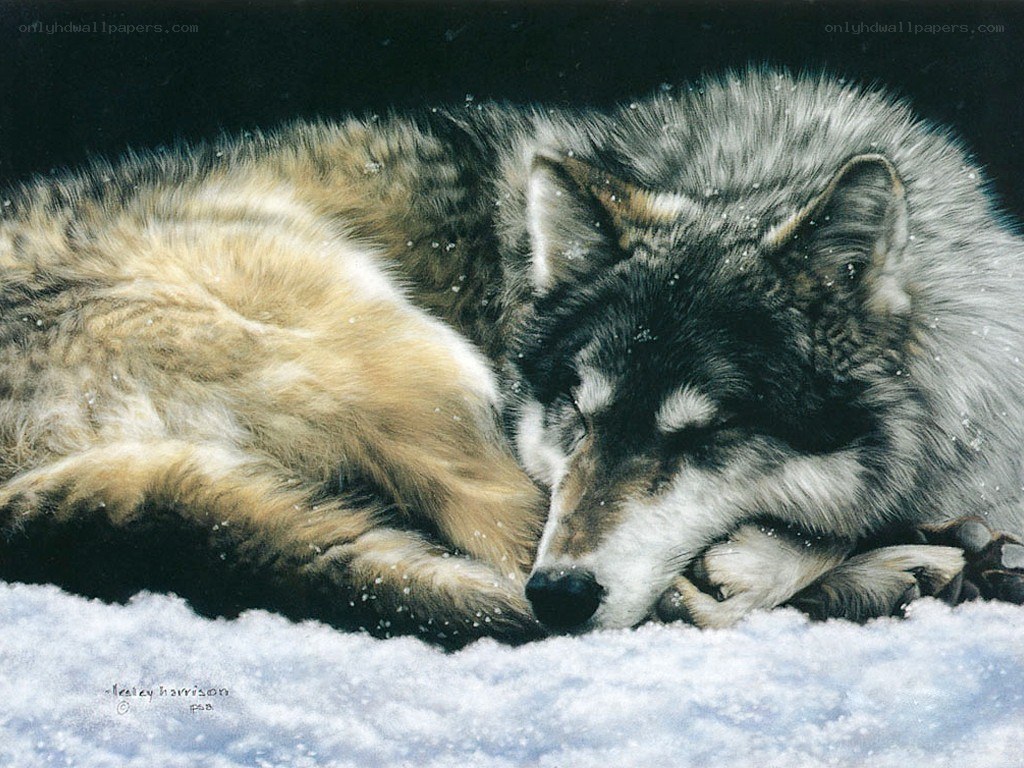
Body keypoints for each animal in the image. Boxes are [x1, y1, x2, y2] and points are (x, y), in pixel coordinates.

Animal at [0, 69, 1021, 645]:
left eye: (703, 437)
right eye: (578, 413)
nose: (563, 595)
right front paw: (852, 556)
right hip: (422, 361)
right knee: (529, 565)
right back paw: (896, 574)